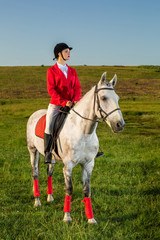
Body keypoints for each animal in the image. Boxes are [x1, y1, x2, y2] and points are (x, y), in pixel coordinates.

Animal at [26, 71, 124, 223]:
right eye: (103, 98)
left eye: (117, 98)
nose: (120, 125)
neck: (83, 132)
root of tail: (35, 114)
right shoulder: (68, 165)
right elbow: (69, 188)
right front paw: (67, 217)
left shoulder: (89, 164)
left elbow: (87, 190)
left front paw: (91, 219)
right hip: (33, 151)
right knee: (35, 173)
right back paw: (37, 201)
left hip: (51, 158)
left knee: (49, 173)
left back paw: (50, 197)